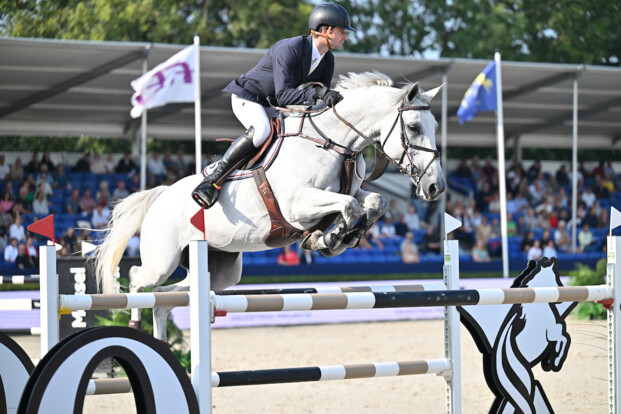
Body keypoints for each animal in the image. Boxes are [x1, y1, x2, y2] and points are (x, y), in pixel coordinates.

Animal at [92, 72, 446, 340]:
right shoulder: (297, 206)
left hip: (218, 272)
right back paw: (134, 323)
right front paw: (329, 239)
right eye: (413, 127)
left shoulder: (350, 193)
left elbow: (373, 201)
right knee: (138, 279)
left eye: (435, 128)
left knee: (166, 300)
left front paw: (338, 237)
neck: (334, 142)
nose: (436, 187)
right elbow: (349, 207)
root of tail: (161, 195)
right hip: (161, 260)